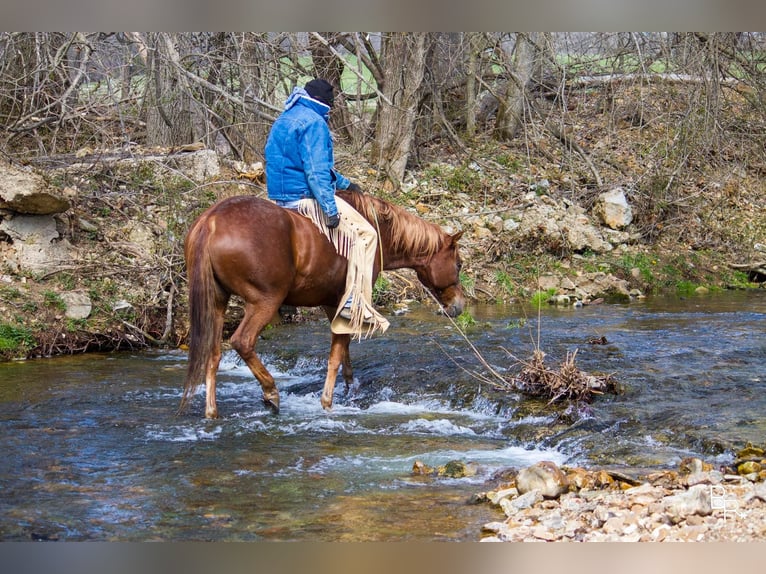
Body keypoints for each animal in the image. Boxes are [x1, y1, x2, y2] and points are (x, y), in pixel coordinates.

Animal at [182, 191, 468, 420]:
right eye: (459, 264)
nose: (459, 306)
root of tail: (211, 221)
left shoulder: (334, 306)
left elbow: (344, 350)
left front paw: (351, 389)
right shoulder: (344, 302)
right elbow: (335, 355)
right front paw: (328, 402)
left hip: (217, 302)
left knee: (213, 353)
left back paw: (212, 412)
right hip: (264, 301)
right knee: (242, 341)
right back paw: (271, 392)